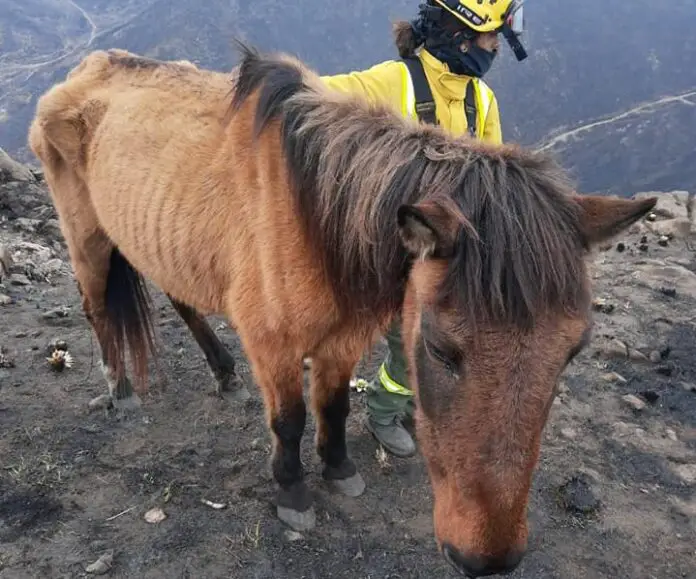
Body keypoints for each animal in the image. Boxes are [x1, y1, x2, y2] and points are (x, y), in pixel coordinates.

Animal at [28, 42, 656, 577]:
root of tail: (80, 73)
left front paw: (338, 469)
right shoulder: (272, 343)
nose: (487, 559)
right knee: (97, 308)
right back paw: (121, 390)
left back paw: (223, 372)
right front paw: (292, 491)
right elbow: (290, 419)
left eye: (572, 351)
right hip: (87, 237)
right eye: (438, 348)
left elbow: (333, 406)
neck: (313, 211)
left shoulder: (346, 336)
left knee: (180, 296)